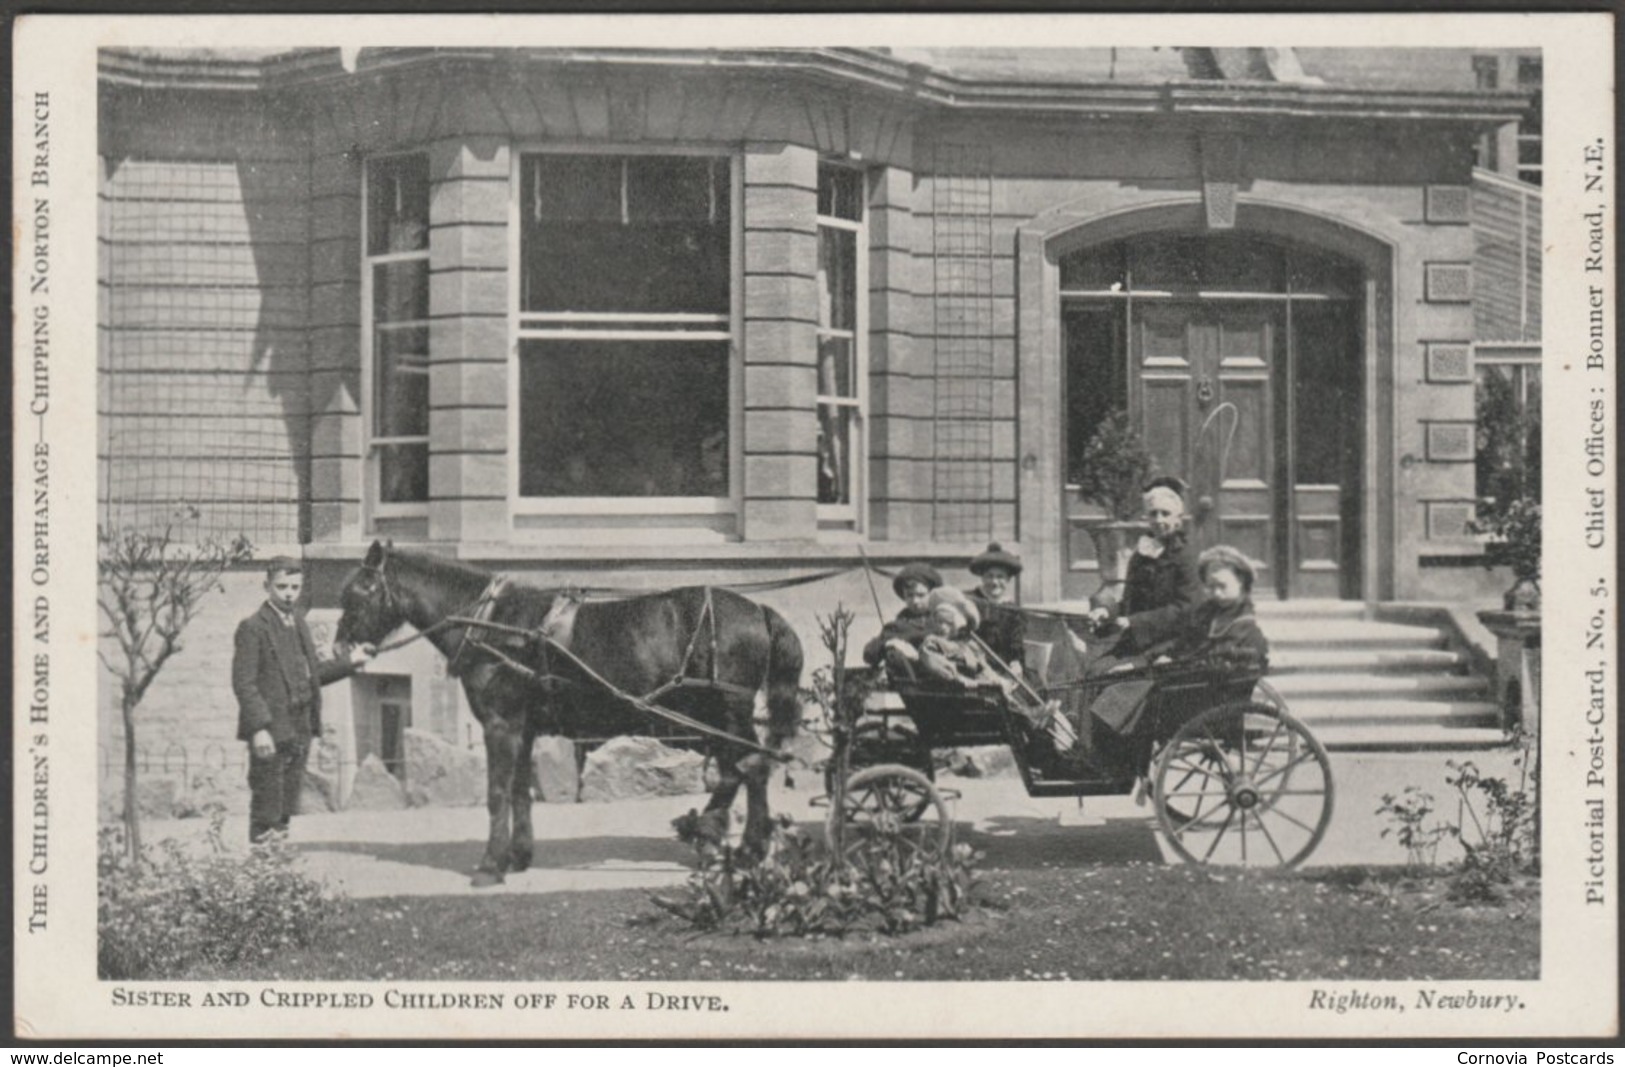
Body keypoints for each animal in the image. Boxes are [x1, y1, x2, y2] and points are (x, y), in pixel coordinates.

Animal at [333, 542, 802, 883]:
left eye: (359, 591)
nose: (339, 649)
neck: (495, 626)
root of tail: (758, 611)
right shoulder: (521, 729)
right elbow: (519, 792)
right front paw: (517, 856)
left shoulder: (501, 725)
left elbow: (497, 793)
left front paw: (490, 865)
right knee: (746, 770)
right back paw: (728, 841)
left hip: (725, 714)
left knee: (748, 767)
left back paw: (728, 840)